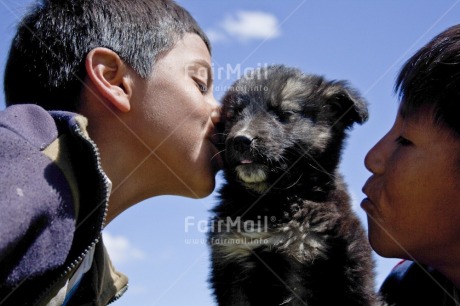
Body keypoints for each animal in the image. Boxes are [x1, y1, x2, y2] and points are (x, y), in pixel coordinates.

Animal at [210, 65, 380, 304]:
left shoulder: (301, 262)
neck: (270, 201)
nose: (240, 140)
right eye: (234, 115)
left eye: (285, 114)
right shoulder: (233, 262)